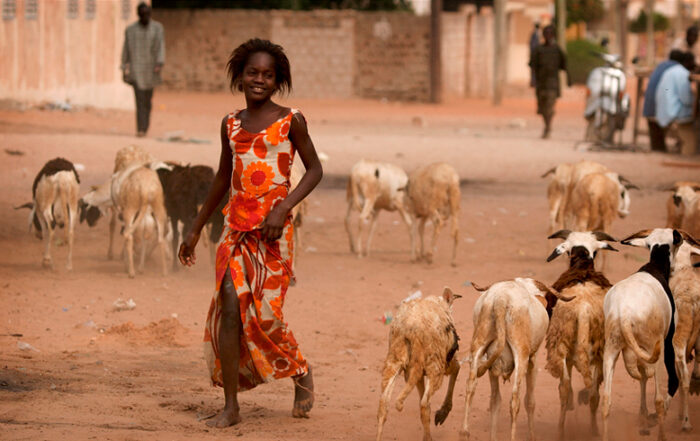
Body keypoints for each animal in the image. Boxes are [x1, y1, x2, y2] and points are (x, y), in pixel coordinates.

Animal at [374, 286, 462, 440]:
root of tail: (410, 329)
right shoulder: (447, 361)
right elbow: (457, 367)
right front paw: (443, 413)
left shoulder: (418, 373)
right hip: (435, 365)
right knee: (424, 403)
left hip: (395, 360)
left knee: (384, 403)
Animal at [460, 276, 568, 440]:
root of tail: (501, 299)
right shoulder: (533, 360)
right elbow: (530, 401)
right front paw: (532, 436)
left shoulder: (491, 366)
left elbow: (495, 401)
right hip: (521, 354)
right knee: (515, 400)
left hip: (479, 343)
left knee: (471, 386)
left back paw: (464, 432)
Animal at [544, 229, 616, 438]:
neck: (582, 266)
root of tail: (583, 309)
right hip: (599, 349)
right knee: (594, 394)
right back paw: (593, 430)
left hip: (562, 344)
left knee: (566, 389)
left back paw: (562, 430)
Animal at [600, 229, 684, 438]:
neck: (654, 267)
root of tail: (624, 311)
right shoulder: (666, 341)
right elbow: (671, 381)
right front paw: (648, 418)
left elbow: (643, 378)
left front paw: (644, 418)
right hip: (655, 350)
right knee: (659, 398)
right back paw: (661, 433)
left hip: (612, 349)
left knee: (606, 400)